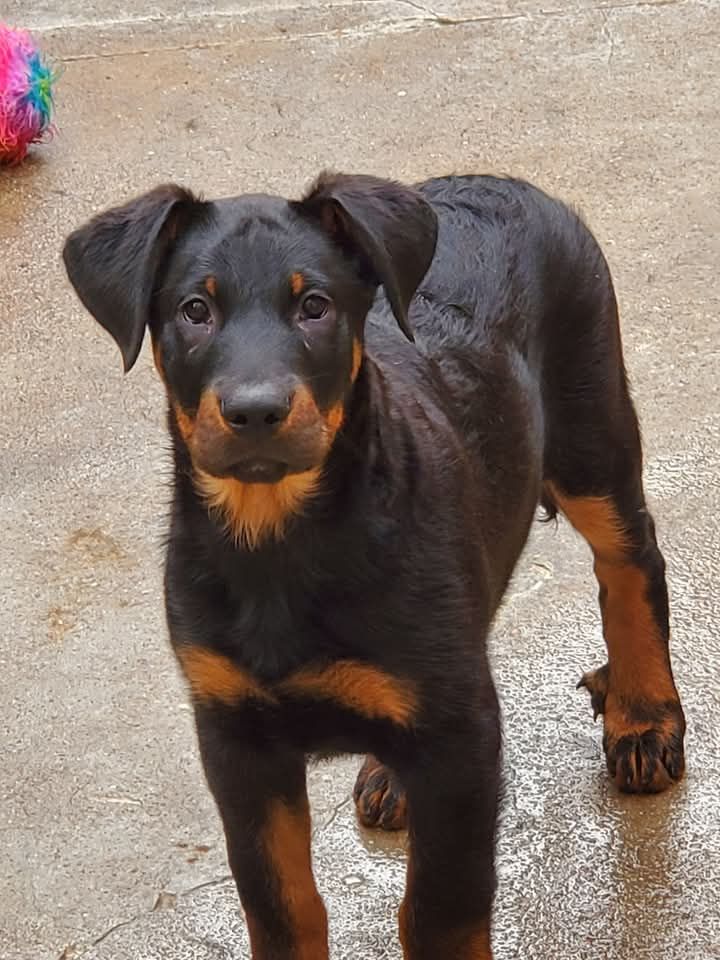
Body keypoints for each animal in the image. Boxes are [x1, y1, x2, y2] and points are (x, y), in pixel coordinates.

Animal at [63, 174, 688, 960]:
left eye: (315, 306)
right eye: (194, 311)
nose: (255, 413)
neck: (278, 541)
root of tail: (503, 180)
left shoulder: (461, 739)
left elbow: (441, 910)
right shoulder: (234, 733)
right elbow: (280, 905)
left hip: (591, 432)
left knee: (630, 559)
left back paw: (644, 716)